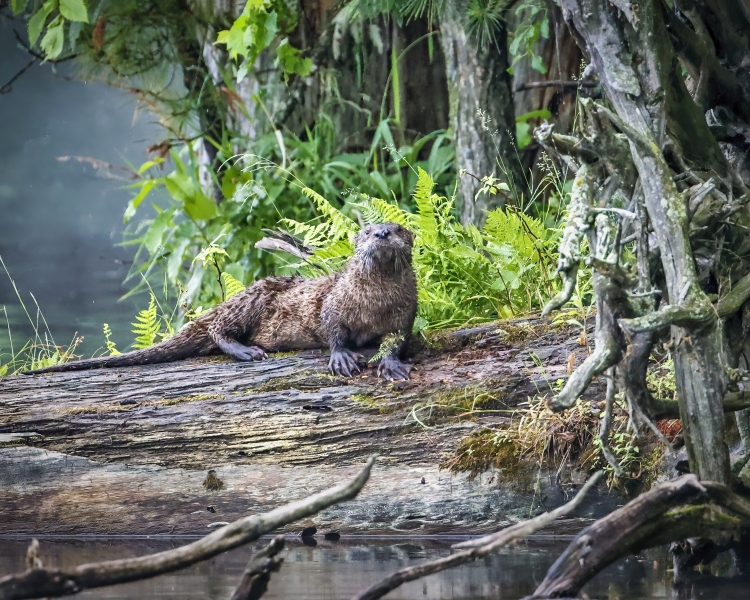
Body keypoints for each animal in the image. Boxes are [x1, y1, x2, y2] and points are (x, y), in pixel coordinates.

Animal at [26, 222, 417, 380]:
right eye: (366, 231)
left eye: (398, 228)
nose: (382, 233)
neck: (375, 302)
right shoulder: (334, 301)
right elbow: (332, 327)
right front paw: (341, 357)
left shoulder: (405, 313)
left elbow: (397, 339)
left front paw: (391, 365)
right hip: (251, 299)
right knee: (216, 328)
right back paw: (246, 351)